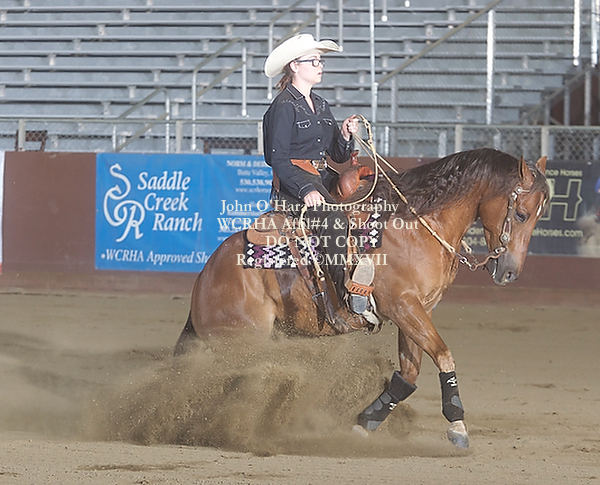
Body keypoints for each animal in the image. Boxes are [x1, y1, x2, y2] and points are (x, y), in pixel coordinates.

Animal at [174, 147, 549, 449]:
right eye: (520, 213)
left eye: (539, 215)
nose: (510, 272)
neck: (416, 226)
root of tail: (205, 278)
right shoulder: (402, 306)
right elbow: (444, 355)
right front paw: (457, 425)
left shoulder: (417, 311)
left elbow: (408, 375)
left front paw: (364, 423)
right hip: (242, 341)